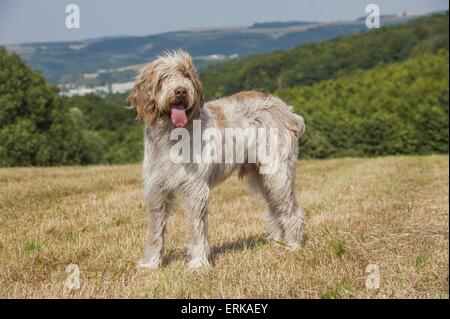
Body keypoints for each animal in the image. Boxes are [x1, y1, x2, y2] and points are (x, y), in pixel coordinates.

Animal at [130, 50, 306, 270]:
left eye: (186, 75)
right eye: (163, 77)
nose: (181, 91)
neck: (171, 134)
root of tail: (287, 110)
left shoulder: (195, 189)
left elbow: (197, 228)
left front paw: (198, 264)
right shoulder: (156, 190)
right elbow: (156, 230)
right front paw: (151, 264)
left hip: (277, 174)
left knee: (292, 210)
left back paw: (293, 245)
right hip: (260, 177)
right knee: (274, 209)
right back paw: (277, 242)